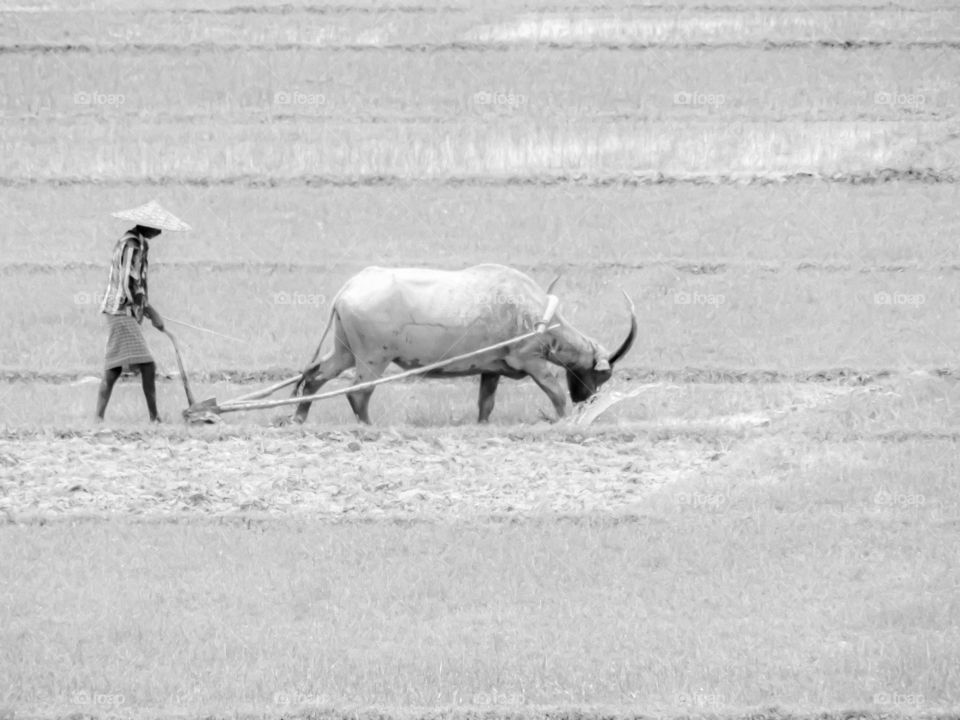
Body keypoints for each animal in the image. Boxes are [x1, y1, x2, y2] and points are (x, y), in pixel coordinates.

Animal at [290, 263, 636, 424]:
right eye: (602, 373)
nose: (587, 400)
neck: (538, 313)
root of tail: (351, 287)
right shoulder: (532, 361)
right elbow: (554, 393)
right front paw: (565, 421)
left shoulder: (491, 369)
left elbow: (486, 403)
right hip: (372, 358)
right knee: (357, 392)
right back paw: (368, 426)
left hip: (345, 352)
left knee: (315, 375)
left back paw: (299, 417)